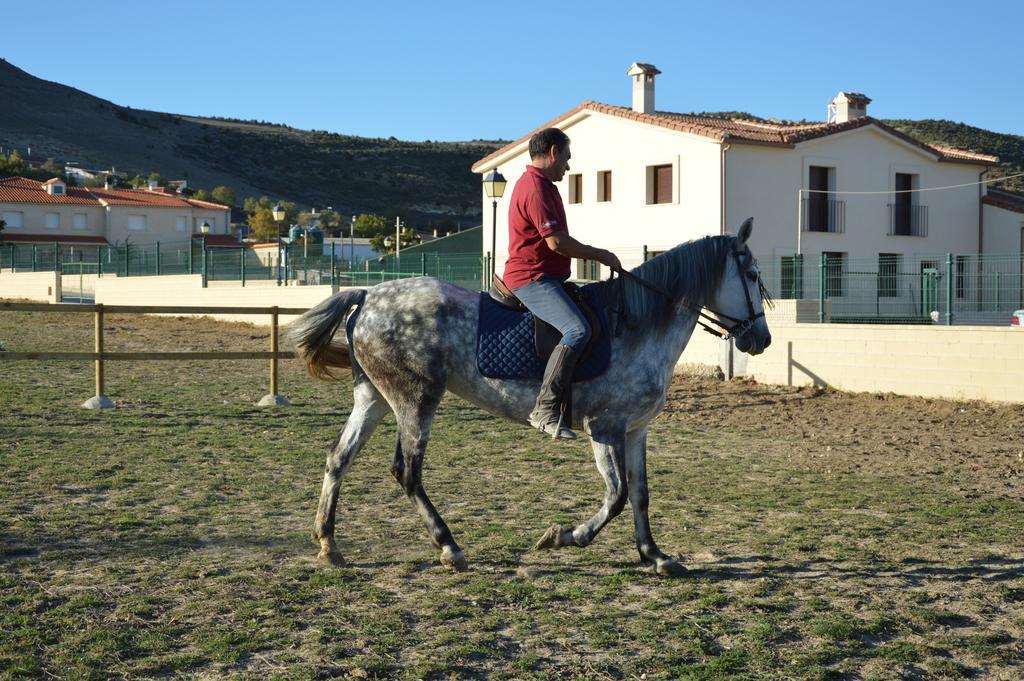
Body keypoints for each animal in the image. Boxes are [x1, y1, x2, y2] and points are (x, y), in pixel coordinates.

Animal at [288, 218, 770, 573]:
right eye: (751, 275)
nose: (761, 339)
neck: (638, 324)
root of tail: (367, 293)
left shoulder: (636, 430)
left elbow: (640, 493)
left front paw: (655, 555)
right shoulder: (604, 427)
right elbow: (615, 497)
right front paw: (563, 537)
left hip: (373, 397)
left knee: (338, 458)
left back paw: (329, 544)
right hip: (416, 399)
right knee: (407, 472)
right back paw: (450, 548)